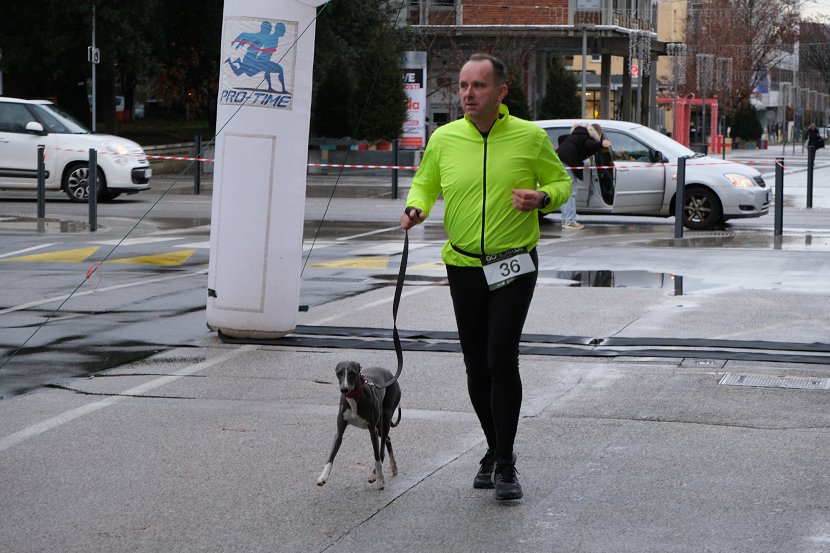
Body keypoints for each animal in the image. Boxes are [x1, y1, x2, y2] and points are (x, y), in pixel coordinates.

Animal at [317, 361, 401, 489]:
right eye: (339, 373)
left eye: (353, 373)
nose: (344, 389)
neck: (354, 398)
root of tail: (391, 374)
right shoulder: (339, 432)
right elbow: (331, 456)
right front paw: (323, 477)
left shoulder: (372, 431)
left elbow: (377, 457)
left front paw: (380, 479)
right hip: (380, 425)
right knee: (388, 439)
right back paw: (393, 467)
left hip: (385, 419)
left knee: (382, 449)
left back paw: (376, 474)